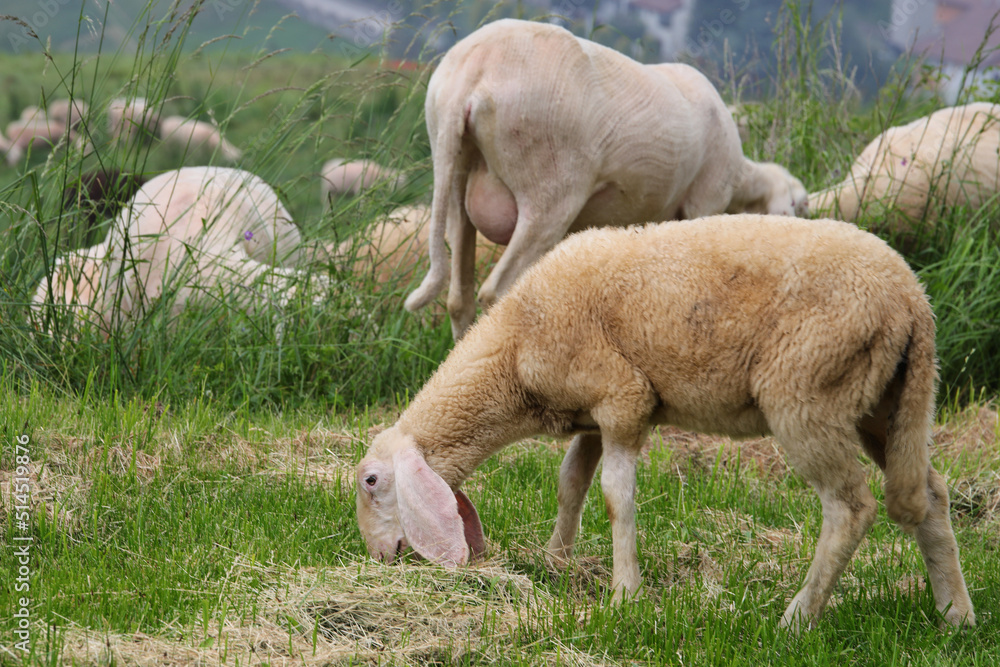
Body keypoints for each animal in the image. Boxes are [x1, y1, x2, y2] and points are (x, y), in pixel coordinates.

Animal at [356, 214, 976, 631]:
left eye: (370, 481)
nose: (380, 559)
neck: (513, 352)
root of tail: (912, 299)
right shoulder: (592, 415)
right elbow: (570, 484)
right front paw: (556, 561)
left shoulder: (622, 397)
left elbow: (615, 496)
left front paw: (625, 595)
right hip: (885, 403)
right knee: (928, 492)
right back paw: (955, 614)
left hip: (807, 394)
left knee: (851, 507)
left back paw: (796, 619)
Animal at [404, 19, 807, 340]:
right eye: (796, 208)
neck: (741, 180)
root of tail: (472, 72)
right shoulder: (703, 204)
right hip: (549, 188)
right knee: (497, 292)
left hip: (454, 172)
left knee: (459, 298)